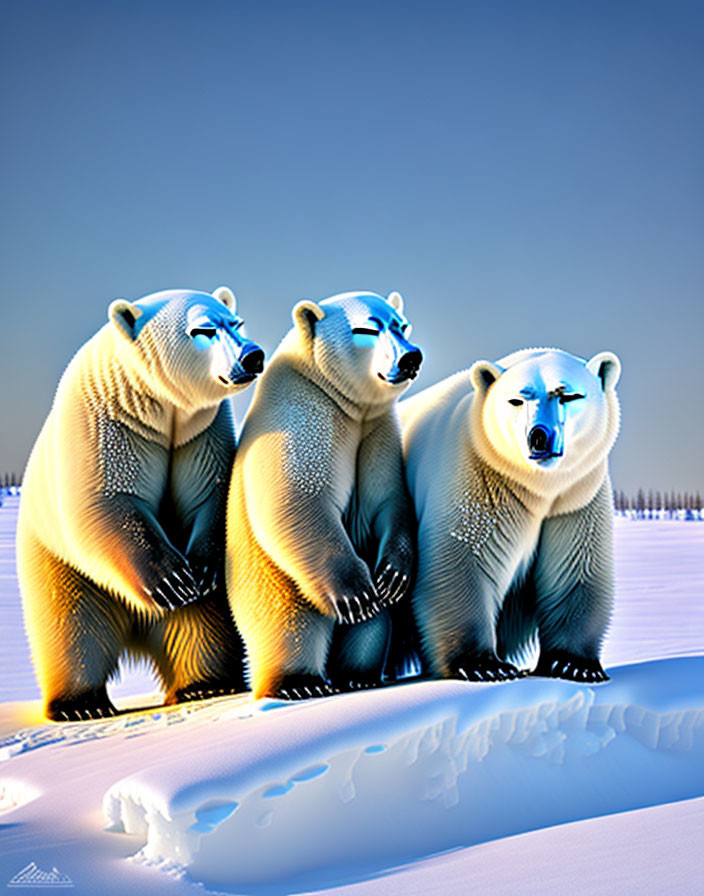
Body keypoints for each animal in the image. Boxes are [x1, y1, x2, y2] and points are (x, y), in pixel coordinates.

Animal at [16, 288, 266, 720]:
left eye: (237, 323)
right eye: (202, 330)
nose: (252, 356)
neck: (157, 405)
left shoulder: (200, 431)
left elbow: (211, 493)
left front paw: (199, 571)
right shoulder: (105, 422)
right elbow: (106, 501)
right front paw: (172, 581)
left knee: (202, 622)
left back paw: (205, 684)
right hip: (53, 558)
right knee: (69, 623)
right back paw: (79, 704)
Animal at [227, 290, 424, 696]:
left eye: (402, 325)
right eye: (366, 329)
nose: (411, 357)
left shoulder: (376, 431)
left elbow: (389, 499)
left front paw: (393, 578)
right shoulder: (301, 418)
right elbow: (297, 501)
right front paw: (357, 595)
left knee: (372, 627)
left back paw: (357, 674)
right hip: (269, 580)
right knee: (289, 622)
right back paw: (299, 683)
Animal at [402, 346, 620, 684]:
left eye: (569, 396)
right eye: (516, 400)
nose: (539, 437)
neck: (538, 488)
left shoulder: (575, 498)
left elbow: (575, 568)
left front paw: (574, 664)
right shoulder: (478, 479)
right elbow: (463, 564)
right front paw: (483, 665)